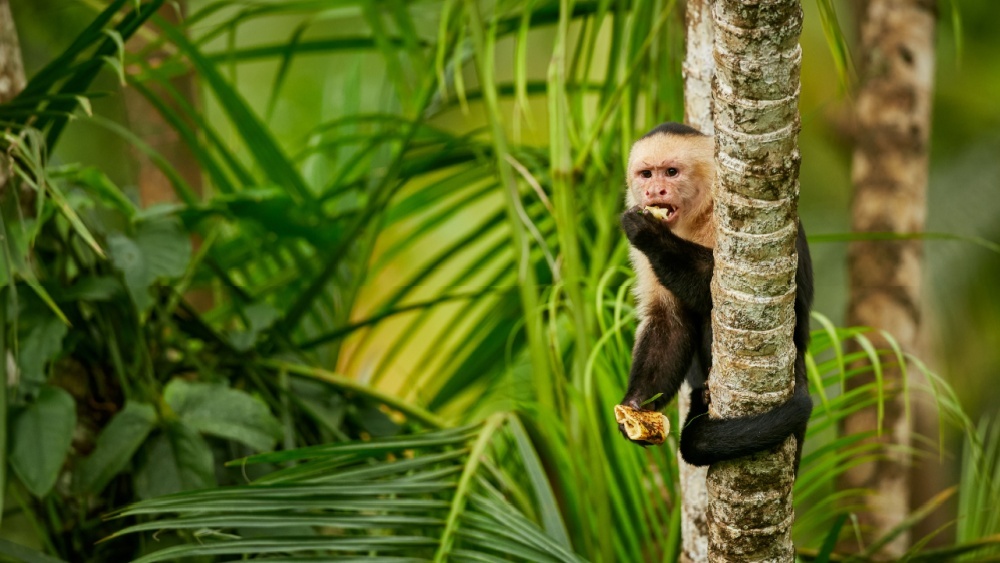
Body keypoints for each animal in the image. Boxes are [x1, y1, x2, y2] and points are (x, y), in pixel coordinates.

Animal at [618, 122, 814, 468]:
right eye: (646, 174)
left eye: (671, 172)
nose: (654, 191)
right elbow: (669, 320)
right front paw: (637, 405)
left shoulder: (725, 213)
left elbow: (725, 290)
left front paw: (650, 233)